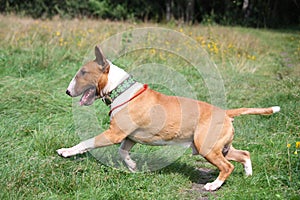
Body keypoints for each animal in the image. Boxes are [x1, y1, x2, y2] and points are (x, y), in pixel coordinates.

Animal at [57, 45, 280, 191]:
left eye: (83, 72)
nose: (67, 91)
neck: (121, 89)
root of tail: (225, 113)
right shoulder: (129, 137)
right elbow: (123, 152)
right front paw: (133, 167)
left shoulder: (114, 134)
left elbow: (86, 142)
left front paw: (66, 151)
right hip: (220, 147)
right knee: (244, 154)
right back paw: (248, 175)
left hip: (207, 147)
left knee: (228, 166)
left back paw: (213, 185)